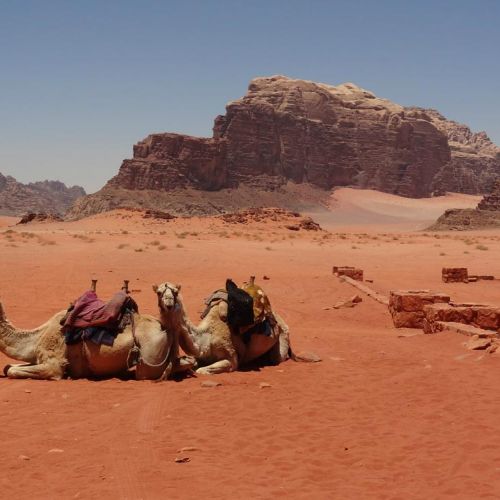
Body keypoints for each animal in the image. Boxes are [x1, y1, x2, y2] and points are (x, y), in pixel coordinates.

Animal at [0, 296, 195, 378]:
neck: (36, 338)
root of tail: (165, 327)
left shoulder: (53, 365)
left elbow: (11, 371)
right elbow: (8, 366)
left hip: (150, 355)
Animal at [152, 282, 292, 376]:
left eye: (175, 292)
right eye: (158, 293)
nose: (169, 304)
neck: (206, 337)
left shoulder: (231, 357)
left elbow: (201, 370)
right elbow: (195, 363)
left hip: (283, 335)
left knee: (277, 358)